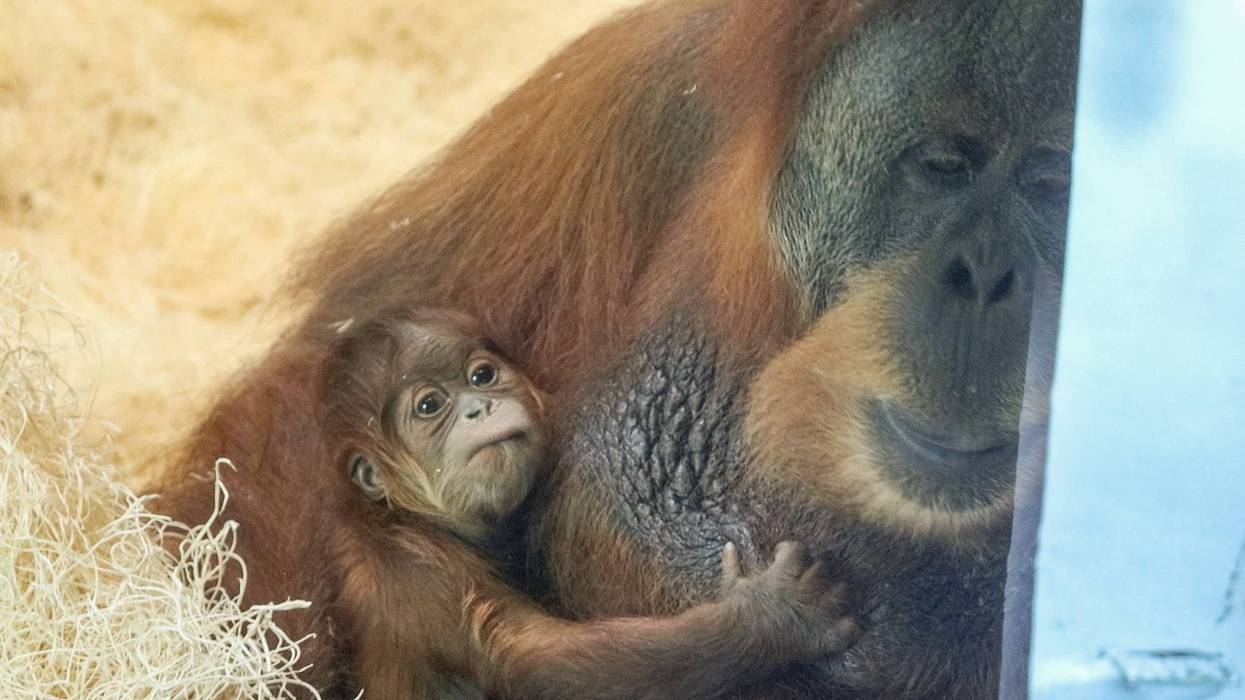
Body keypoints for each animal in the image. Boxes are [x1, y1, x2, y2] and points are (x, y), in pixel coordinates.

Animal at [314, 306, 858, 698]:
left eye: (482, 376)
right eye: (429, 405)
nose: (479, 407)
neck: (404, 515)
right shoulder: (412, 573)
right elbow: (533, 664)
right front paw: (773, 617)